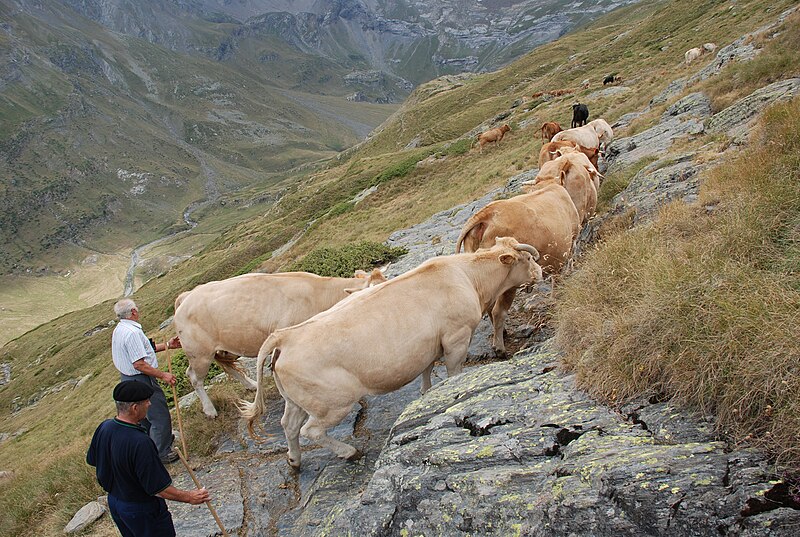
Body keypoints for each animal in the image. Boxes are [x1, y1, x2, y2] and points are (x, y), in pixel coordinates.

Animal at [242, 237, 544, 466]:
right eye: (528, 259)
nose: (541, 270)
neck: (469, 278)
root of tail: (286, 336)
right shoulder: (456, 338)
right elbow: (454, 373)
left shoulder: (427, 346)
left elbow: (426, 375)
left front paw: (426, 395)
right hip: (333, 402)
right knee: (311, 431)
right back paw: (349, 452)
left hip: (297, 400)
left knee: (289, 425)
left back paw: (294, 460)